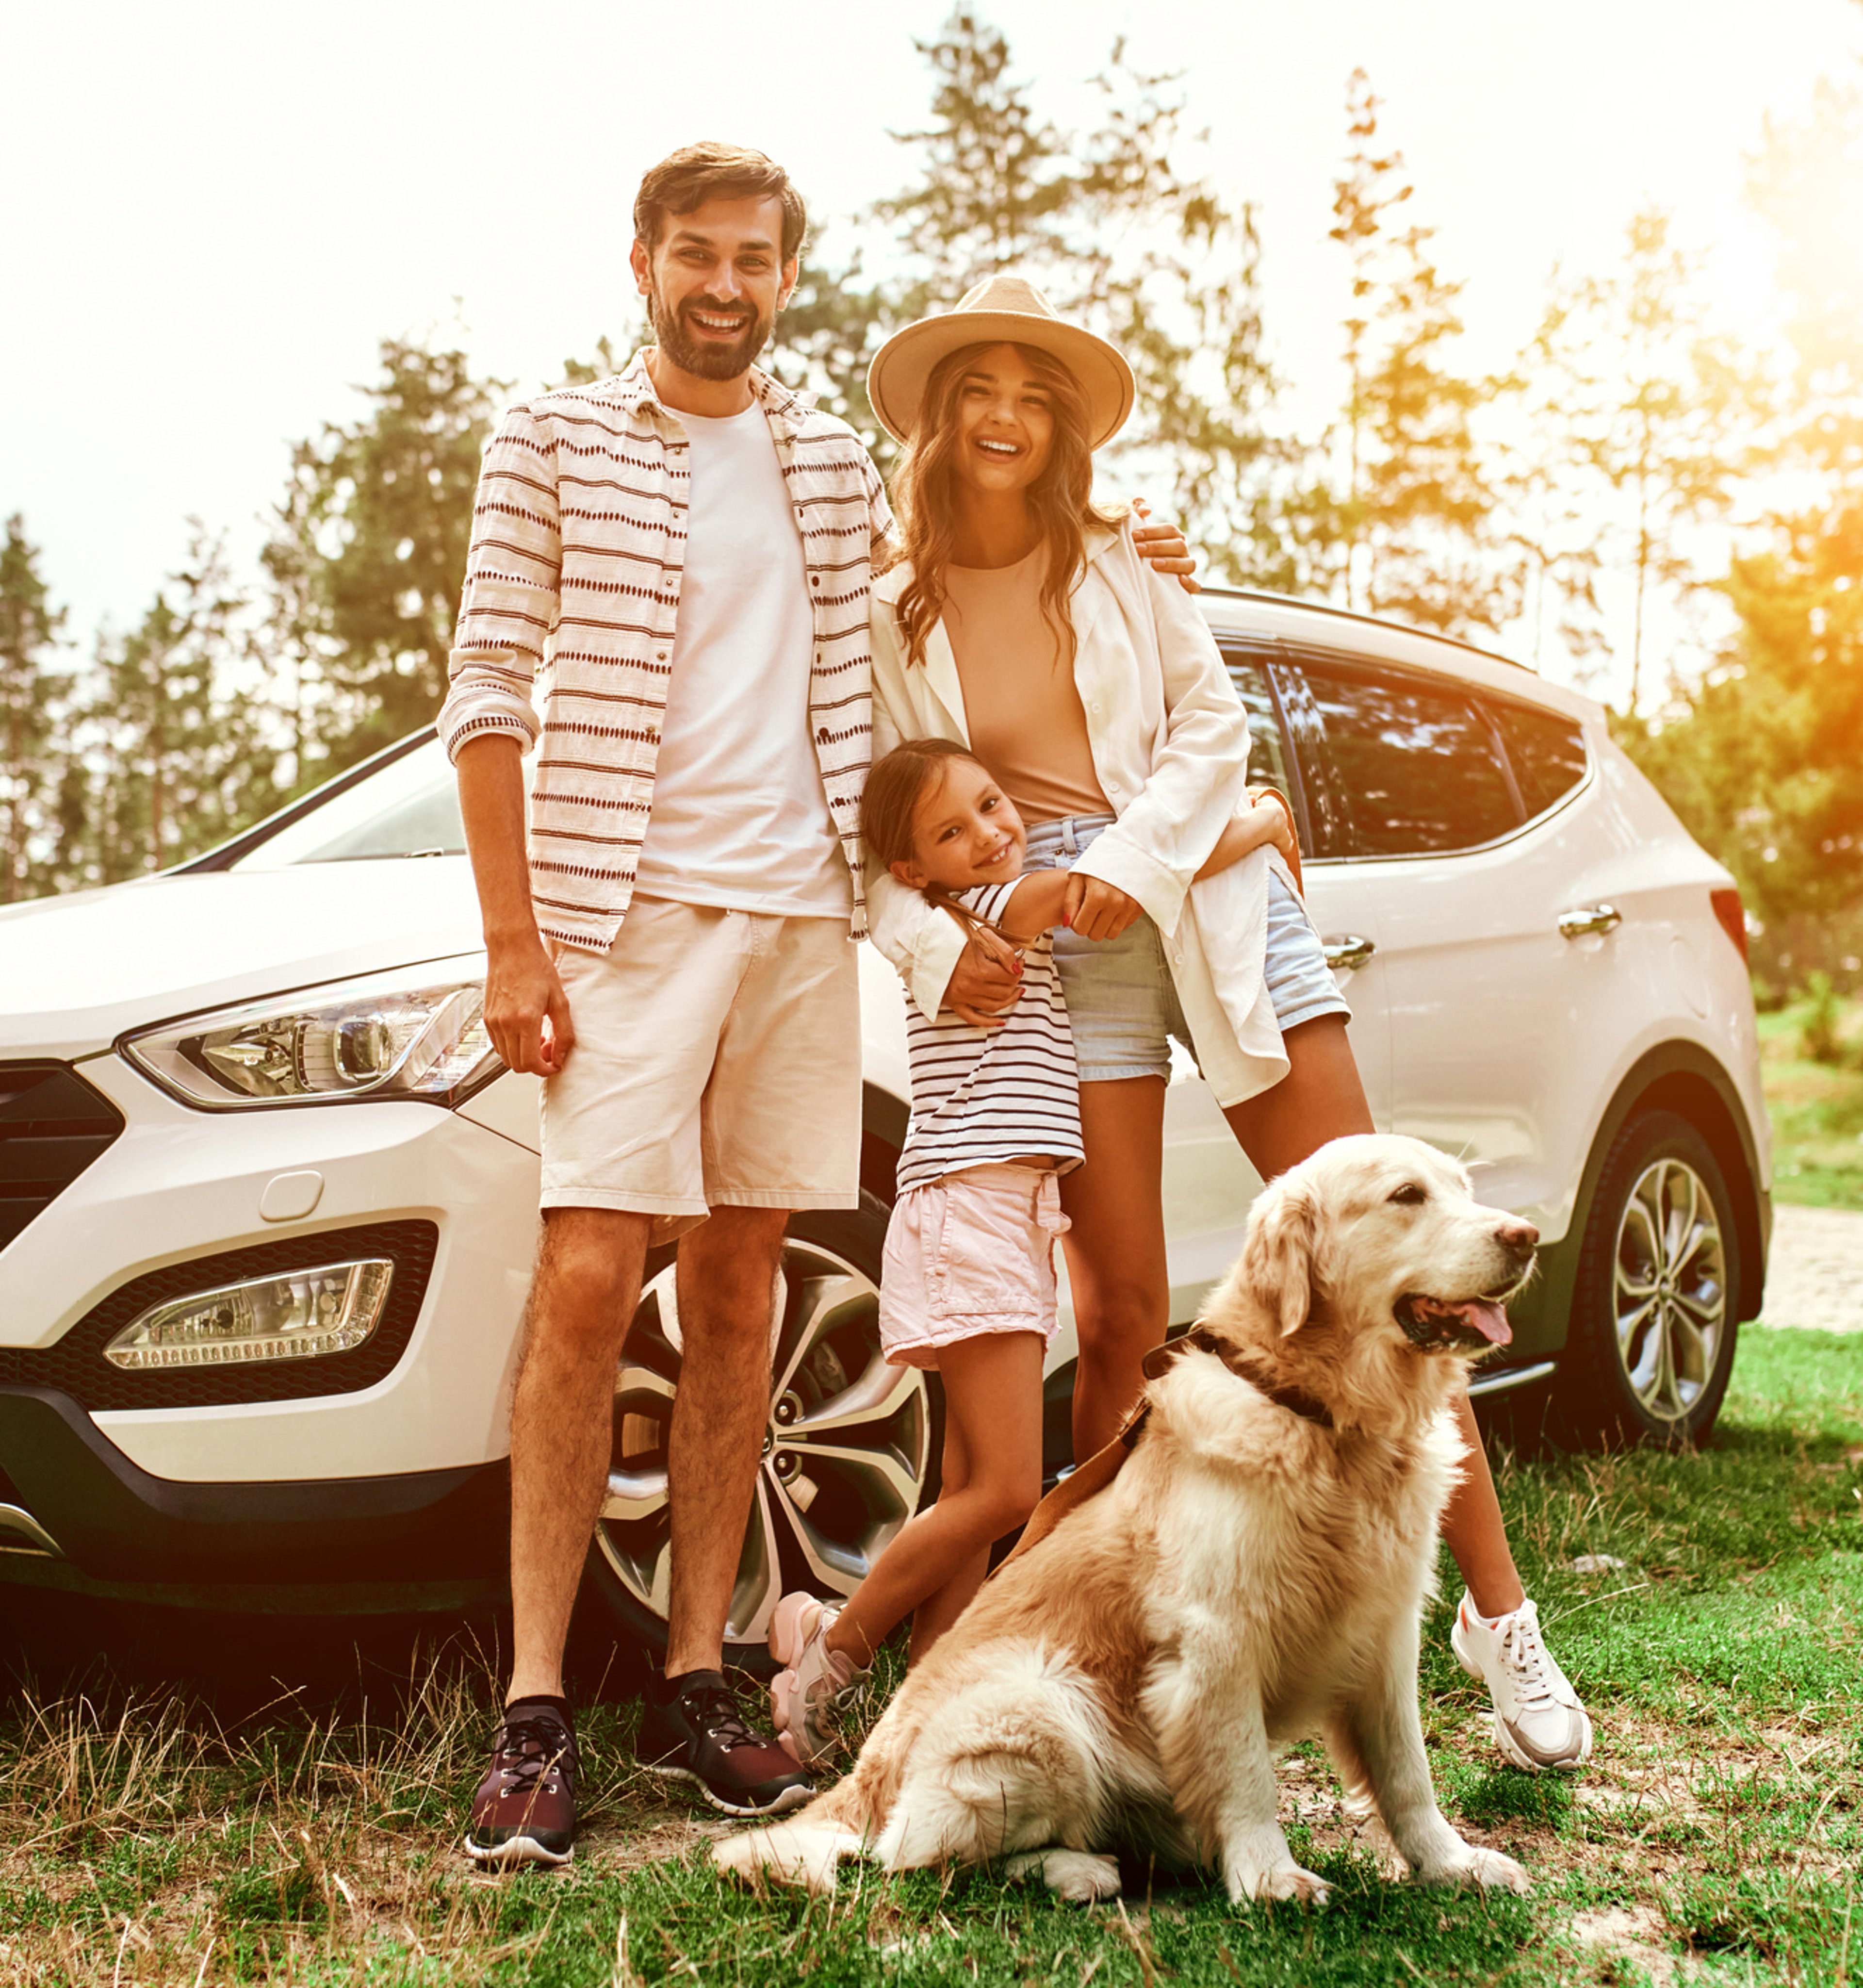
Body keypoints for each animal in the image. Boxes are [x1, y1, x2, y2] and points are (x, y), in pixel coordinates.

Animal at [712, 1137, 1527, 1908]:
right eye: (1406, 1196)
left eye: (1465, 1189)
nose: (1523, 1235)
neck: (1323, 1418)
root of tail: (862, 1773)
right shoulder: (1216, 1639)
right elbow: (1247, 1775)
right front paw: (1270, 1879)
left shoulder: (1385, 1635)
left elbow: (1407, 1773)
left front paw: (1452, 1863)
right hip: (1044, 1704)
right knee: (917, 1853)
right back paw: (1077, 1871)